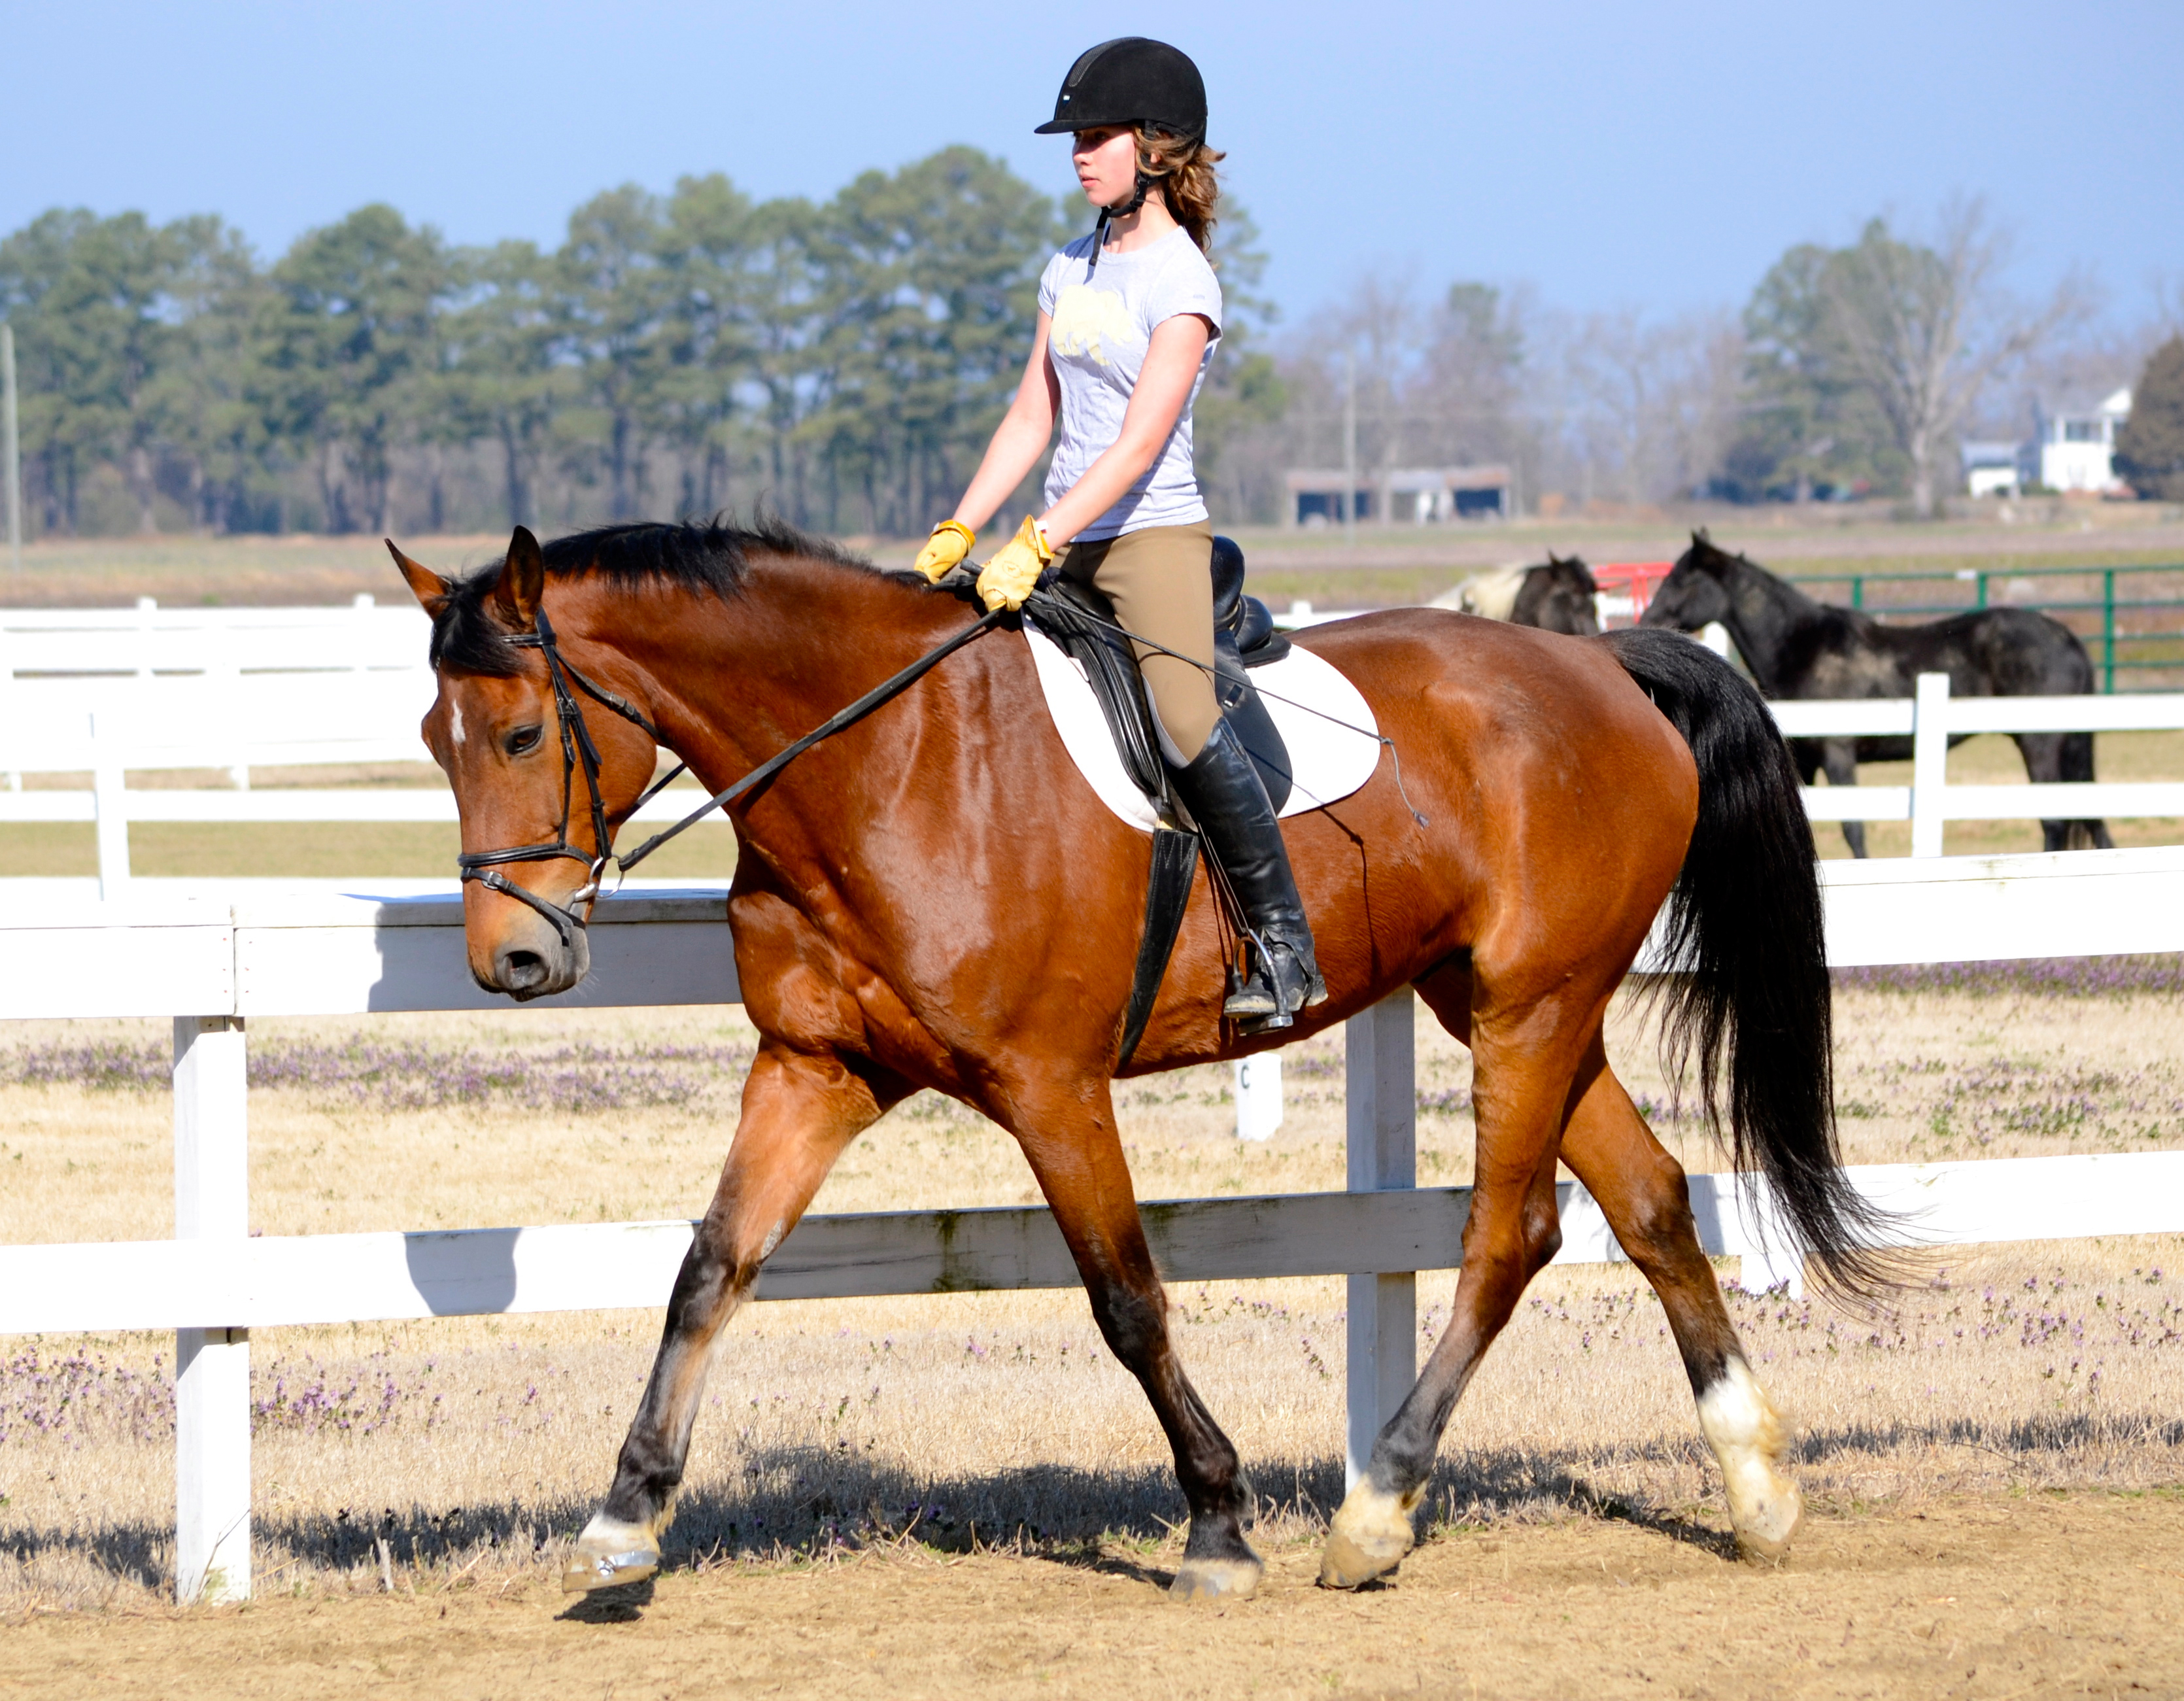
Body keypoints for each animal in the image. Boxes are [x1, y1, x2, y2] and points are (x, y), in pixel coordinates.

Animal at [388, 519, 1878, 1598]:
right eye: (429, 740)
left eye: (521, 732)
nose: (511, 963)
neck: (882, 760)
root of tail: (1606, 669)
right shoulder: (813, 1070)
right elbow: (711, 1266)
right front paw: (624, 1513)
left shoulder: (1049, 1086)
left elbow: (1127, 1299)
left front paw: (1217, 1521)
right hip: (1505, 1004)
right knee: (1650, 1202)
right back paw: (1756, 1490)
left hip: (1530, 1006)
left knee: (1509, 1232)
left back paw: (1376, 1510)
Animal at [1642, 532, 2105, 860]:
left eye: (1682, 580)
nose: (1649, 620)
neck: (1803, 646)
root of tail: (2066, 637)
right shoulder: (1804, 762)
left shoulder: (1839, 756)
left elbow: (1853, 829)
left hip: (2039, 745)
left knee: (2055, 822)